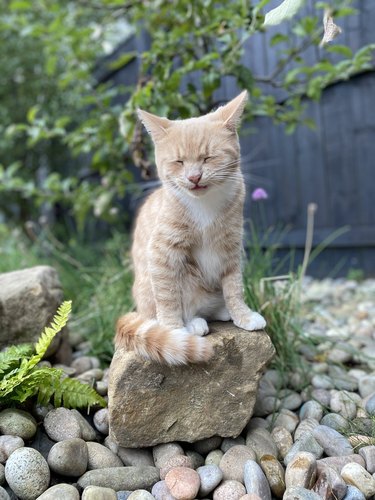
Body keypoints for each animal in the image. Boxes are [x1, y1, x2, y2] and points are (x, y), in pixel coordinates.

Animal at [116, 91, 266, 364]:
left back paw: (220, 311)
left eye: (208, 157)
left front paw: (243, 315)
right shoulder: (163, 252)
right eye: (179, 161)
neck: (204, 205)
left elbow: (234, 287)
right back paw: (193, 324)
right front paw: (174, 331)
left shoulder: (231, 247)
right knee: (166, 311)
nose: (194, 177)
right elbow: (168, 297)